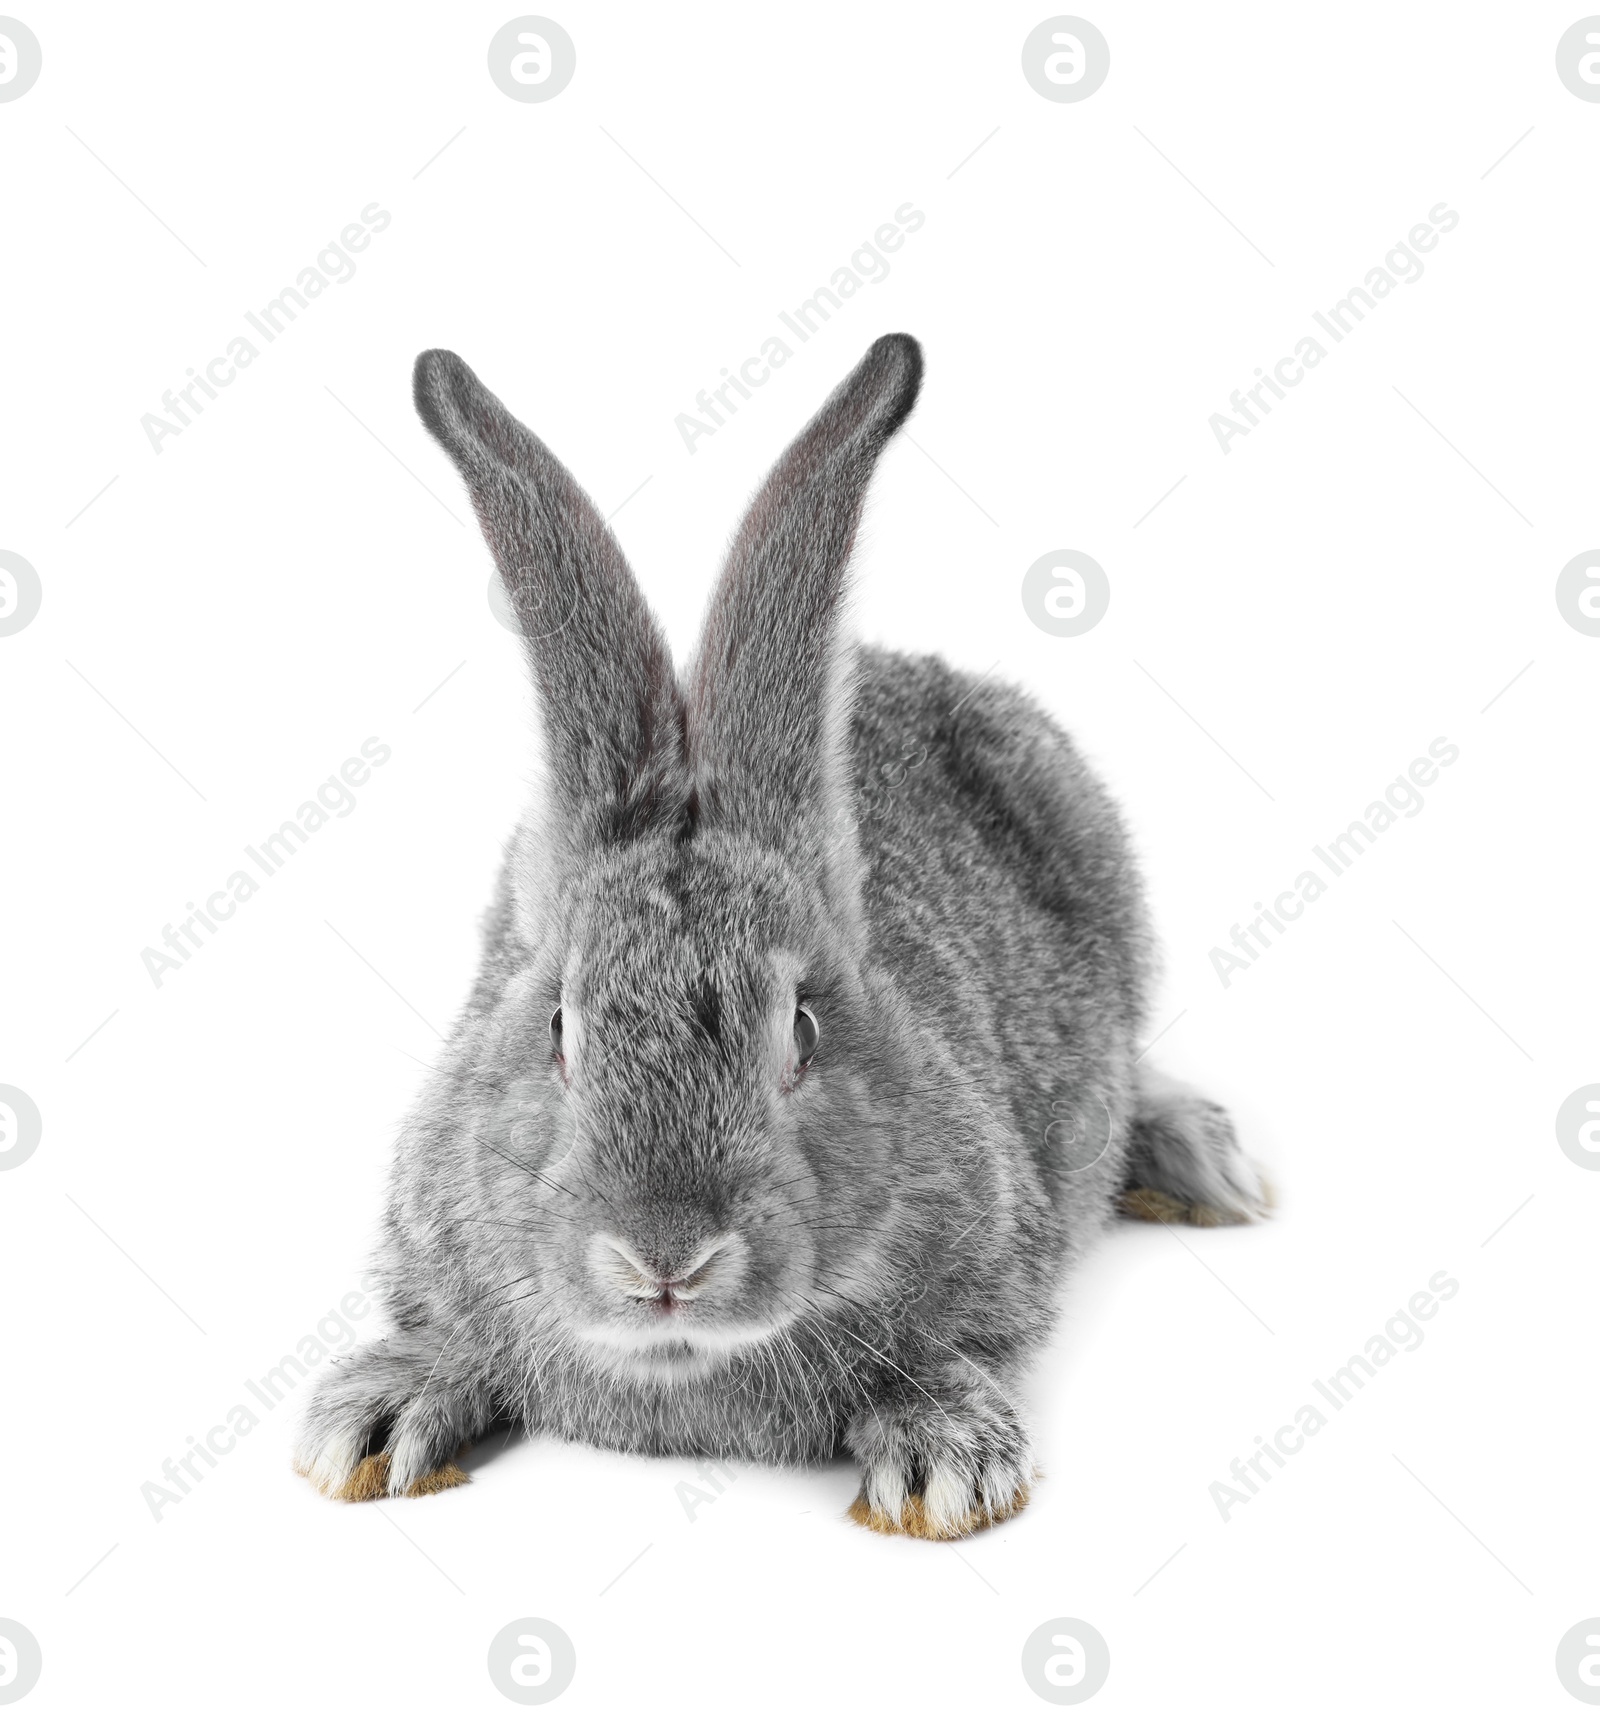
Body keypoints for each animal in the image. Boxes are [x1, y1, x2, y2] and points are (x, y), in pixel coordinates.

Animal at [292, 329, 1267, 1543]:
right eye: (557, 1029)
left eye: (801, 1029)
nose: (665, 1258)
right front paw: (378, 1419)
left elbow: (957, 1357)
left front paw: (942, 1464)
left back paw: (1205, 1165)